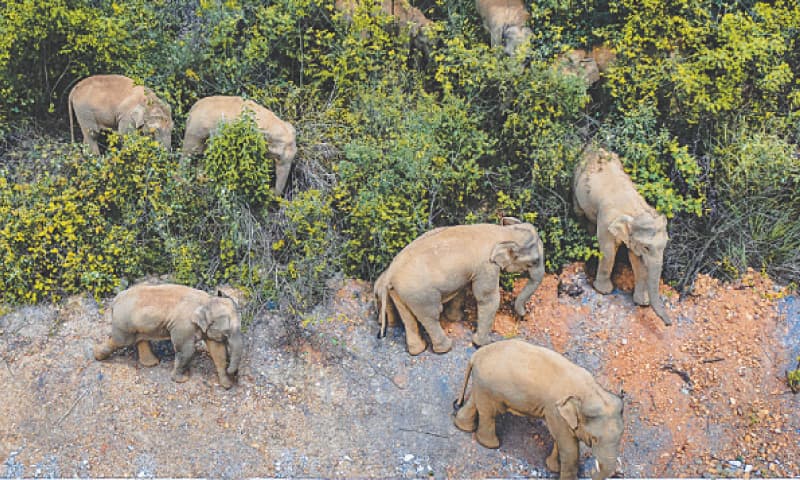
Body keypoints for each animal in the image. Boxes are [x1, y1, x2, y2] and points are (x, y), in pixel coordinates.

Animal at [94, 284, 244, 389]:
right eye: (227, 332)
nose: (234, 374)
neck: (207, 300)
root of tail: (115, 300)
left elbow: (218, 351)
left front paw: (226, 384)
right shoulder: (183, 325)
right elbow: (187, 351)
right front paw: (182, 380)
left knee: (140, 339)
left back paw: (152, 363)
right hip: (124, 322)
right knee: (120, 340)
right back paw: (97, 356)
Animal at [374, 218, 545, 355]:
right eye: (535, 261)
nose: (524, 316)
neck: (503, 232)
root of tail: (391, 273)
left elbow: (462, 289)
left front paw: (456, 318)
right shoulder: (486, 266)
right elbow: (488, 299)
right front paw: (484, 344)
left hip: (400, 292)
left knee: (408, 318)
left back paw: (417, 350)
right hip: (420, 294)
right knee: (431, 316)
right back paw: (445, 348)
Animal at [453, 339, 624, 480]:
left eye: (620, 437)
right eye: (594, 439)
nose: (593, 470)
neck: (591, 391)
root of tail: (476, 354)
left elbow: (560, 440)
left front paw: (553, 468)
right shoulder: (555, 411)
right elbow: (569, 449)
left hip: (482, 384)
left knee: (476, 402)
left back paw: (463, 426)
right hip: (490, 387)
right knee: (489, 413)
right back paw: (492, 445)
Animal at [573, 146, 672, 326]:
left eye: (665, 246)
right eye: (647, 247)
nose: (669, 324)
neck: (635, 211)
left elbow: (637, 260)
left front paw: (642, 303)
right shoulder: (606, 221)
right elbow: (608, 251)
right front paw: (604, 291)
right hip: (576, 182)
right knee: (579, 212)